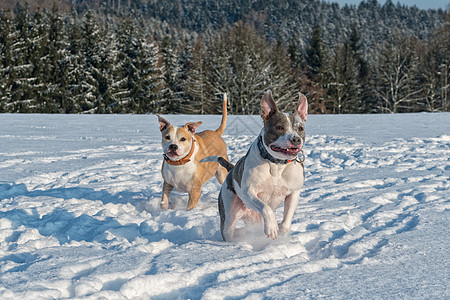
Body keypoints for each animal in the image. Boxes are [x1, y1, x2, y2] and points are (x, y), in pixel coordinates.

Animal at [202, 89, 308, 241]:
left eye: (300, 128)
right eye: (279, 127)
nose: (295, 139)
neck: (276, 164)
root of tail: (231, 170)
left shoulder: (294, 192)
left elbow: (286, 221)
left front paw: (281, 229)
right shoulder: (248, 191)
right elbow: (265, 207)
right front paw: (272, 227)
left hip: (253, 220)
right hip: (229, 216)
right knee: (229, 229)